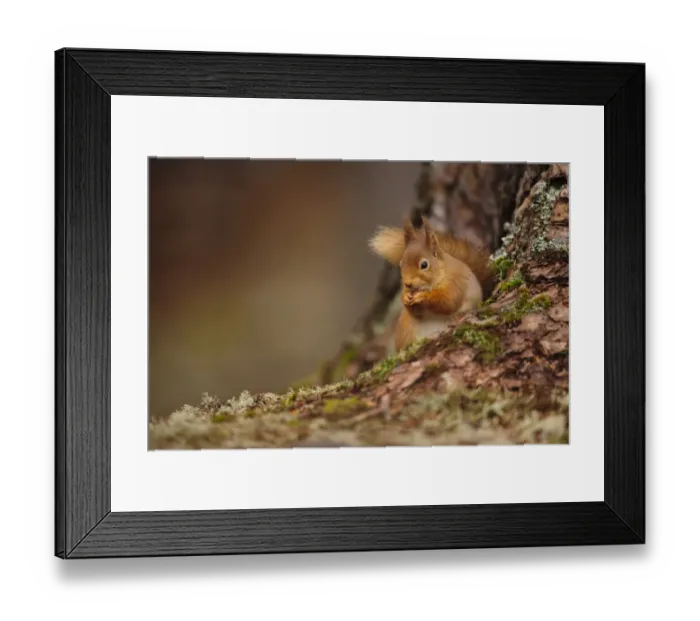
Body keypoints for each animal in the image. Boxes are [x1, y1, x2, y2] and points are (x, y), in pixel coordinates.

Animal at [370, 217, 495, 352]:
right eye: (401, 263)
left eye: (424, 265)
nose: (408, 284)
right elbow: (415, 312)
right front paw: (405, 297)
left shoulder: (456, 282)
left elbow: (448, 302)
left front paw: (424, 297)